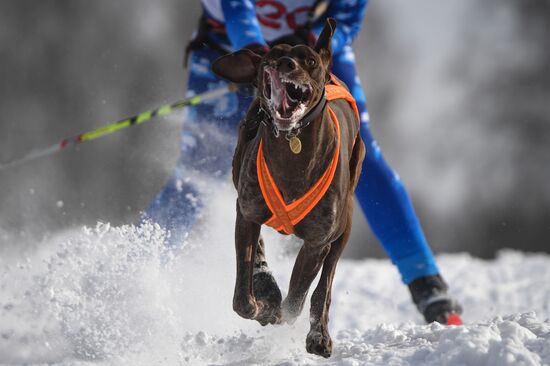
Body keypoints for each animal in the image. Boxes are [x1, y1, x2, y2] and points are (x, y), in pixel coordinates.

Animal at [213, 19, 364, 358]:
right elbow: (242, 298)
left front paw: (280, 312)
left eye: (309, 59)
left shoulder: (317, 242)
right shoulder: (248, 212)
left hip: (344, 226)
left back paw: (319, 335)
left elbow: (296, 299)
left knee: (324, 286)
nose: (285, 64)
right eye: (270, 58)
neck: (292, 151)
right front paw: (263, 299)